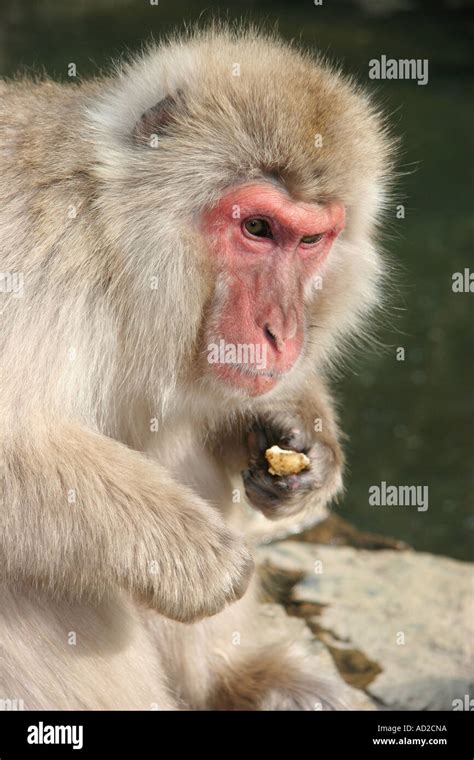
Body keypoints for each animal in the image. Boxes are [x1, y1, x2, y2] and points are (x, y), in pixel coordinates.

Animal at [0, 25, 394, 712]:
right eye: (258, 227)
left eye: (309, 241)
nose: (281, 334)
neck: (110, 237)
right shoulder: (32, 249)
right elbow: (13, 434)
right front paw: (197, 560)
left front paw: (303, 437)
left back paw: (236, 682)